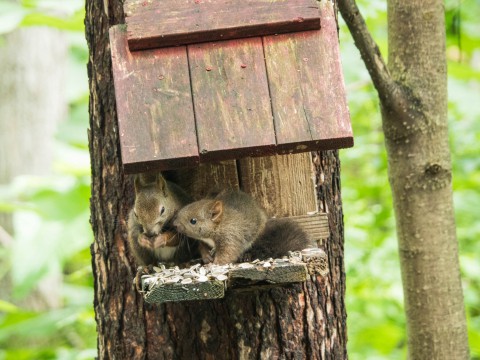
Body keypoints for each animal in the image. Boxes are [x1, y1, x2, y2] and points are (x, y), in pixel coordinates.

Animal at [174, 188, 310, 264]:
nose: (174, 224)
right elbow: (202, 247)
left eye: (193, 221)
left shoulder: (231, 237)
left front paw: (215, 264)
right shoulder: (204, 241)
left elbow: (228, 253)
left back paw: (246, 256)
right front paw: (207, 257)